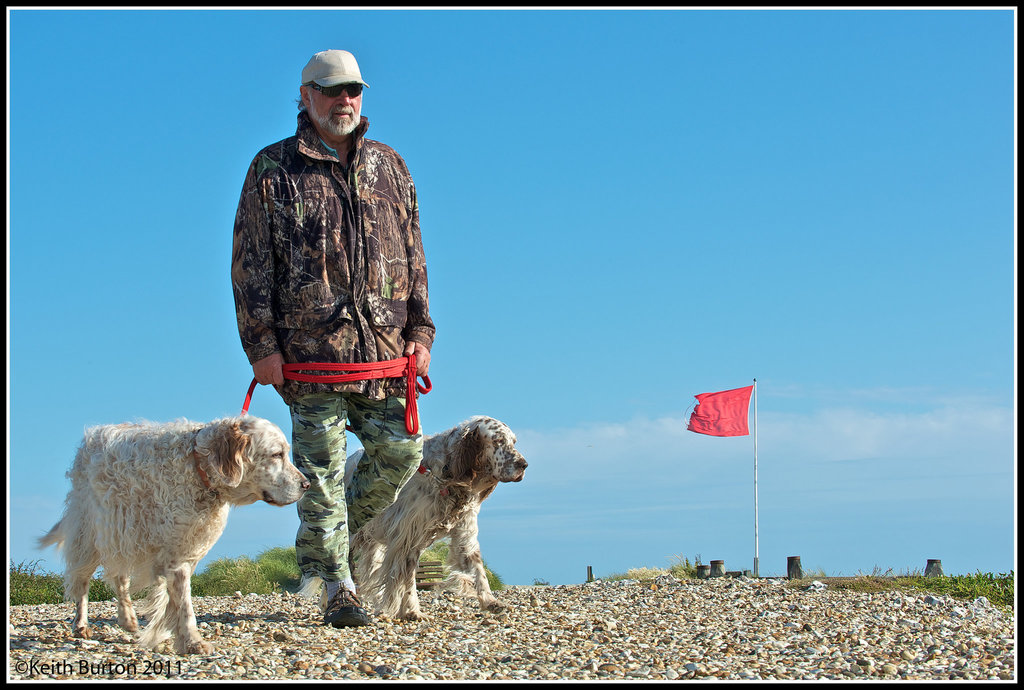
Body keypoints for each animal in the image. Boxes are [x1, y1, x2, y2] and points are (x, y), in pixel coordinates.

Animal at [37, 413, 307, 651]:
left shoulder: (185, 552)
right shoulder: (175, 556)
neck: (198, 466)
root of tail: (91, 435)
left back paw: (128, 618)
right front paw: (192, 641)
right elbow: (184, 606)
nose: (307, 484)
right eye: (276, 454)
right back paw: (81, 625)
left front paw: (167, 634)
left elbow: (173, 601)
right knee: (82, 581)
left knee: (119, 577)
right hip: (91, 532)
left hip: (122, 534)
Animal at [348, 413, 532, 618]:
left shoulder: (463, 532)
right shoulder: (408, 536)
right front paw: (412, 610)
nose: (524, 465)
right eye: (498, 440)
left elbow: (478, 568)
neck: (447, 474)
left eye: (513, 442)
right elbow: (406, 578)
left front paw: (490, 601)